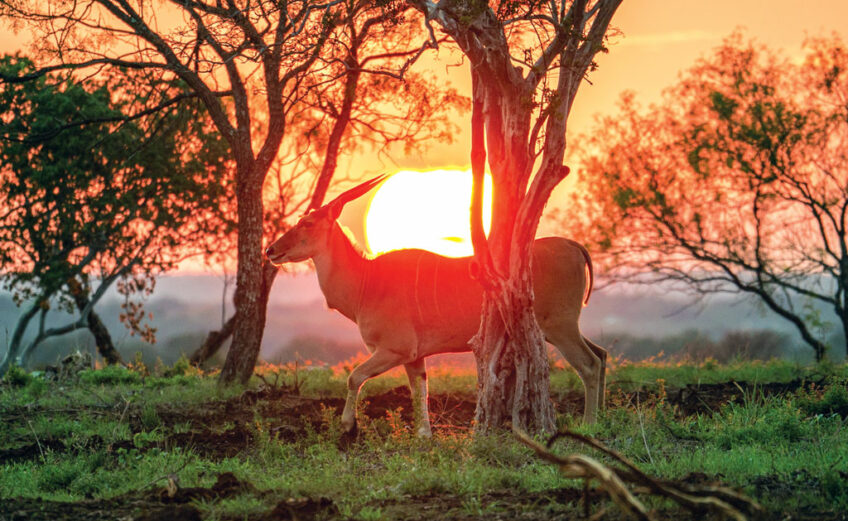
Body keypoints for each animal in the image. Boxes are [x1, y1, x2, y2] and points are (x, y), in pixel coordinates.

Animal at [268, 175, 608, 434]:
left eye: (308, 222)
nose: (272, 250)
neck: (366, 282)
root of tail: (573, 246)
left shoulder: (394, 349)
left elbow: (354, 376)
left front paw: (348, 427)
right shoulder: (413, 357)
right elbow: (420, 390)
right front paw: (423, 436)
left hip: (560, 327)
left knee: (589, 364)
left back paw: (590, 425)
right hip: (561, 328)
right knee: (602, 354)